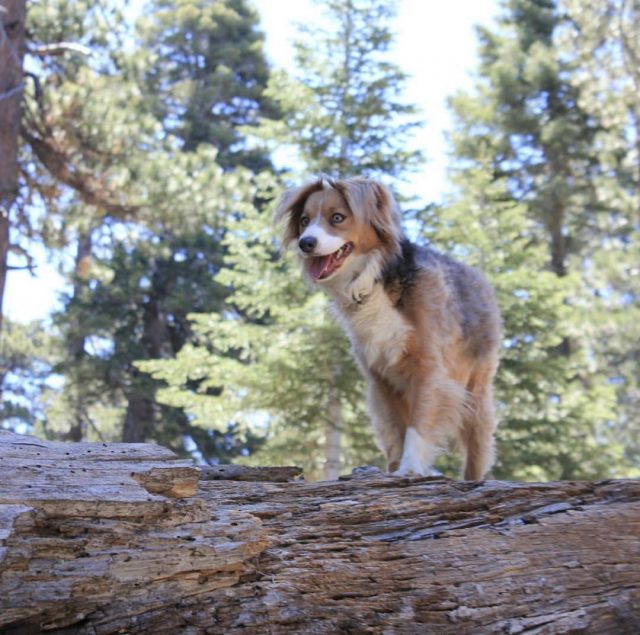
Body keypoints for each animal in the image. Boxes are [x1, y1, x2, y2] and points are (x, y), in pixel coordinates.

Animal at [276, 176, 500, 480]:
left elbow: (418, 425)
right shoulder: (381, 376)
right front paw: (394, 468)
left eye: (337, 217)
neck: (374, 281)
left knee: (476, 447)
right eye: (303, 220)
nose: (305, 243)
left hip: (476, 390)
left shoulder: (428, 367)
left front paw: (410, 468)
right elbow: (397, 430)